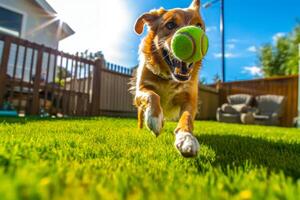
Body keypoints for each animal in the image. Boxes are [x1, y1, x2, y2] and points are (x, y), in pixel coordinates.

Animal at [131, 0, 206, 158]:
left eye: (199, 26)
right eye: (170, 25)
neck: (169, 78)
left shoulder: (190, 100)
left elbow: (187, 118)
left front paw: (186, 138)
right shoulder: (141, 90)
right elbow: (152, 95)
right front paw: (154, 119)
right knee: (141, 115)